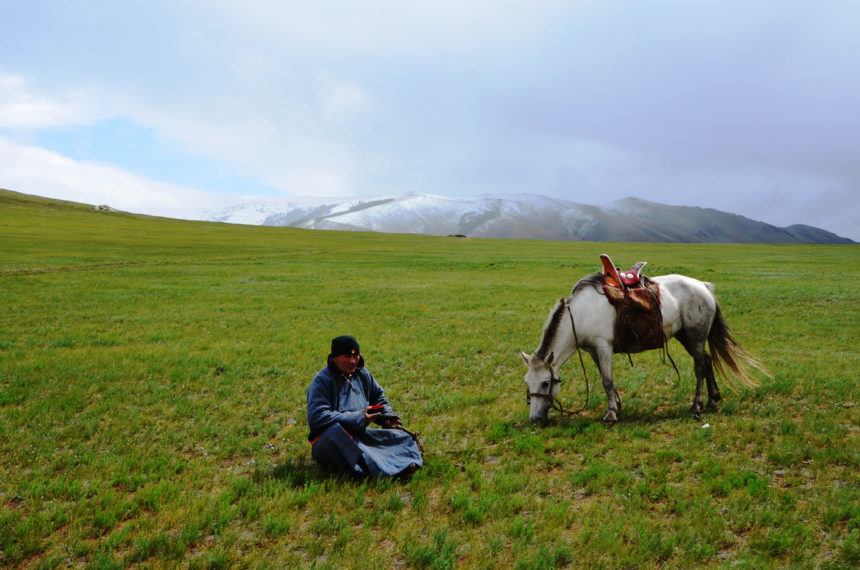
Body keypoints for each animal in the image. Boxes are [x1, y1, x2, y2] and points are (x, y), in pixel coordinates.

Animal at [520, 268, 768, 420]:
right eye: (527, 382)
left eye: (545, 383)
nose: (534, 419)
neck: (581, 314)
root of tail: (703, 286)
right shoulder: (592, 351)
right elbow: (604, 377)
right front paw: (617, 404)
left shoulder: (603, 346)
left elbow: (607, 380)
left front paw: (611, 413)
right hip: (685, 336)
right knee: (707, 362)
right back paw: (713, 399)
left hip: (696, 335)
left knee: (699, 366)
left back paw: (696, 405)